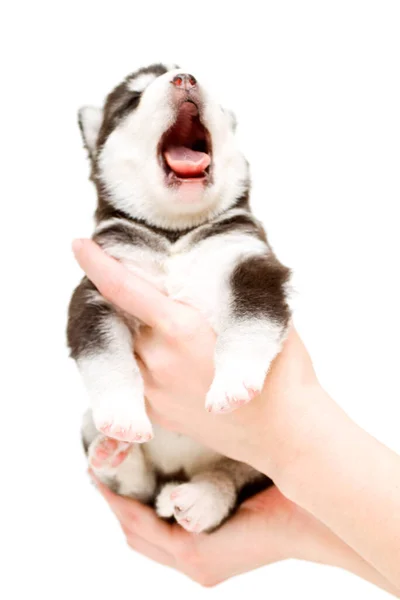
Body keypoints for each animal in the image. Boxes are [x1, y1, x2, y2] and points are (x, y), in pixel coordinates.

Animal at [67, 63, 290, 532]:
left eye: (215, 97)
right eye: (132, 99)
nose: (185, 78)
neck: (174, 233)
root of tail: (177, 475)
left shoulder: (251, 266)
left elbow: (249, 325)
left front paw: (234, 382)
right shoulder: (95, 291)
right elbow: (105, 357)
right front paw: (122, 415)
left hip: (265, 463)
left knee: (233, 476)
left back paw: (201, 499)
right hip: (90, 426)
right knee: (136, 488)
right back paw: (114, 455)